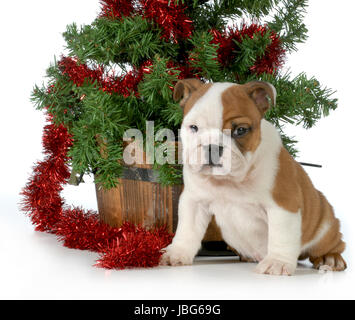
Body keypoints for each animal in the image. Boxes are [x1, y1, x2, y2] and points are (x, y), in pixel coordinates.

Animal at [161, 79, 348, 276]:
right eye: (194, 128)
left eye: (241, 130)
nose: (212, 147)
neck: (230, 181)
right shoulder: (194, 201)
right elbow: (187, 230)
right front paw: (177, 252)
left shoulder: (283, 204)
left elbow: (281, 235)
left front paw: (277, 262)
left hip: (325, 224)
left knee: (331, 245)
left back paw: (330, 258)